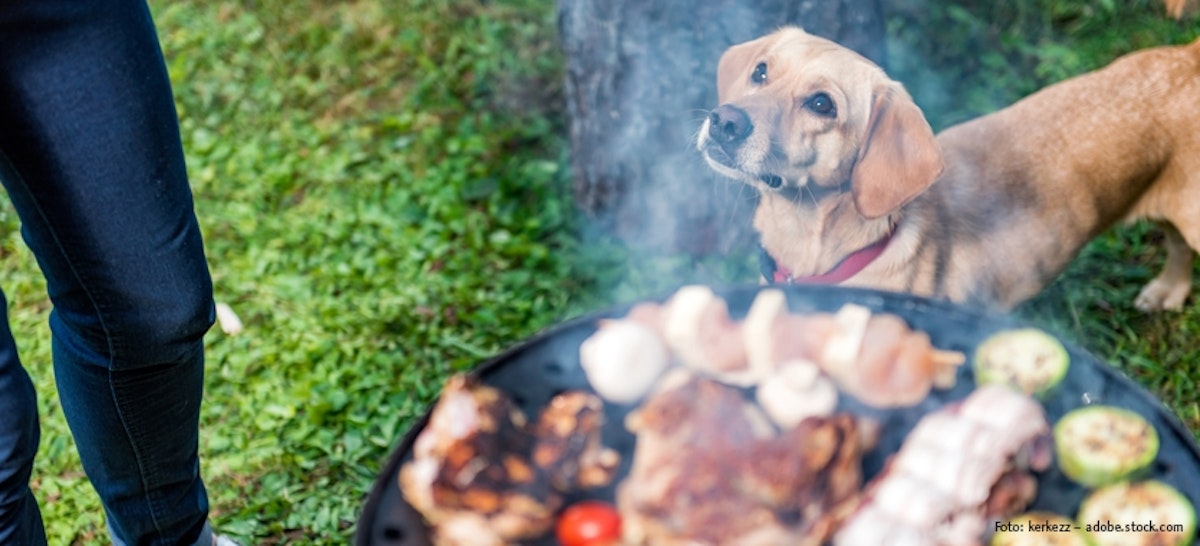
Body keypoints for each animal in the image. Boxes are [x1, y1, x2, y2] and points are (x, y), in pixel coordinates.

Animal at [696, 26, 1200, 312]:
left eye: (822, 104)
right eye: (761, 71)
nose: (724, 121)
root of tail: (1189, 57)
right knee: (1176, 248)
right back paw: (1168, 291)